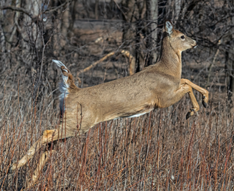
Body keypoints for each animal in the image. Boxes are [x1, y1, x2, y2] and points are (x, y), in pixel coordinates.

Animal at [10, 20, 209, 188]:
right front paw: (195, 109)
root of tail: (70, 91)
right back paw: (14, 166)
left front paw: (203, 101)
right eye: (182, 35)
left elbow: (186, 80)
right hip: (78, 123)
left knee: (50, 145)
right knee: (46, 134)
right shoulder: (164, 98)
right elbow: (187, 84)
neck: (168, 71)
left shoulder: (169, 93)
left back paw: (29, 181)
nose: (195, 42)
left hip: (70, 122)